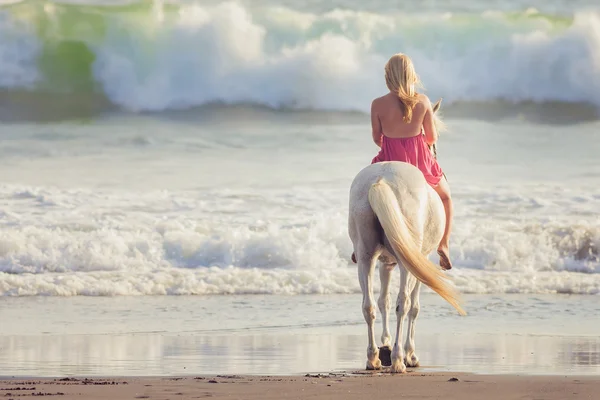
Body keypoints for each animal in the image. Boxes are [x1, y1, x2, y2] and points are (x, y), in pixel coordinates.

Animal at [346, 98, 464, 374]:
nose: (434, 150)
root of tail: (381, 180)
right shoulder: (420, 260)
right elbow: (413, 306)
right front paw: (409, 353)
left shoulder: (386, 263)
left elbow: (383, 301)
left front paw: (386, 345)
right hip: (407, 262)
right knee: (404, 304)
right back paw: (399, 359)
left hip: (366, 256)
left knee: (369, 305)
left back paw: (373, 358)